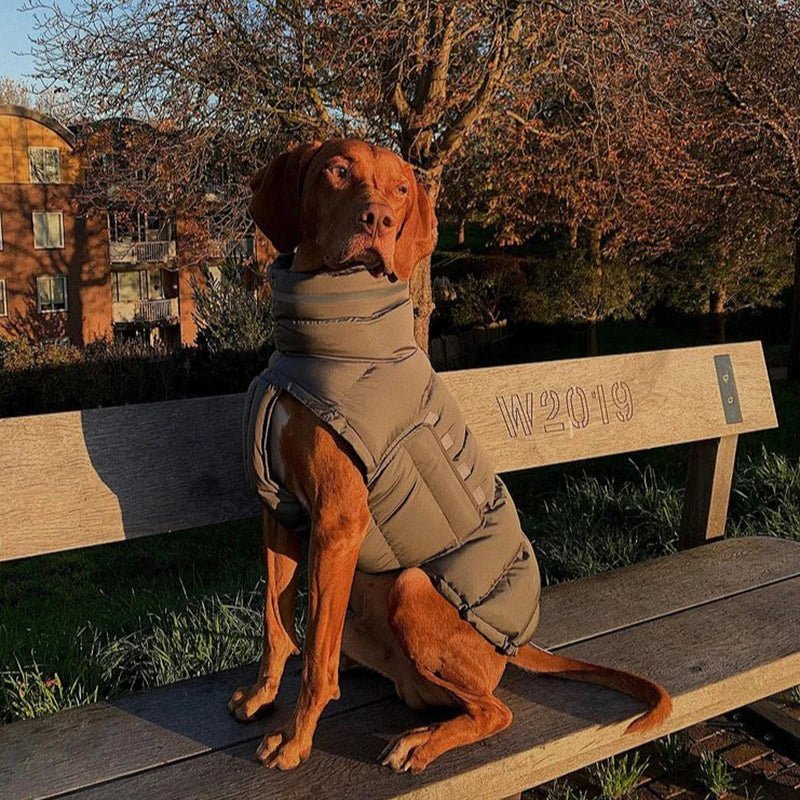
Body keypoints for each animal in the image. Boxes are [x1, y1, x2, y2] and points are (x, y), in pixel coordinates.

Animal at [227, 141, 668, 772]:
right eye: (338, 169)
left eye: (401, 189)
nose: (379, 220)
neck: (331, 336)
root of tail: (513, 646)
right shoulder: (280, 508)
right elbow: (276, 620)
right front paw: (263, 696)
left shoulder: (338, 521)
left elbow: (313, 657)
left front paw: (295, 739)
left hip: (411, 588)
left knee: (493, 710)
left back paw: (421, 741)